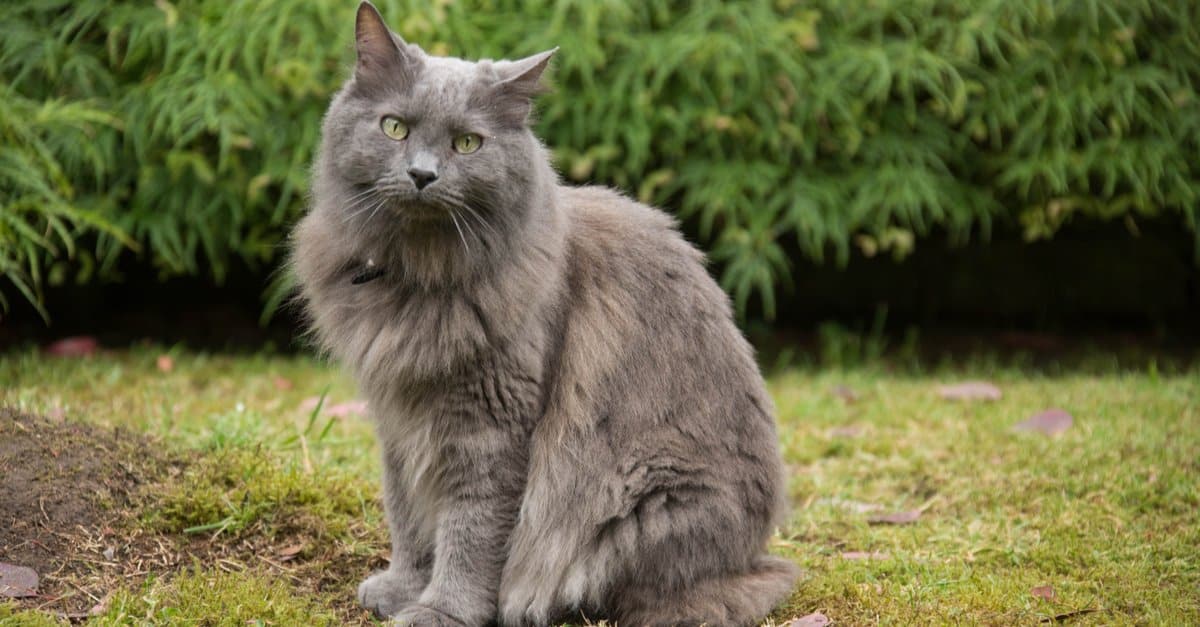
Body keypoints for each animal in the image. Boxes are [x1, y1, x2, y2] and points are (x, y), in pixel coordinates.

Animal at [289, 2, 796, 619]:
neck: (419, 277)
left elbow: (470, 530)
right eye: (394, 128)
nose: (422, 174)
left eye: (467, 143)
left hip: (642, 500)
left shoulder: (492, 424)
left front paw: (442, 610)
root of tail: (749, 558)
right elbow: (407, 513)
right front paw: (402, 588)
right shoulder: (399, 419)